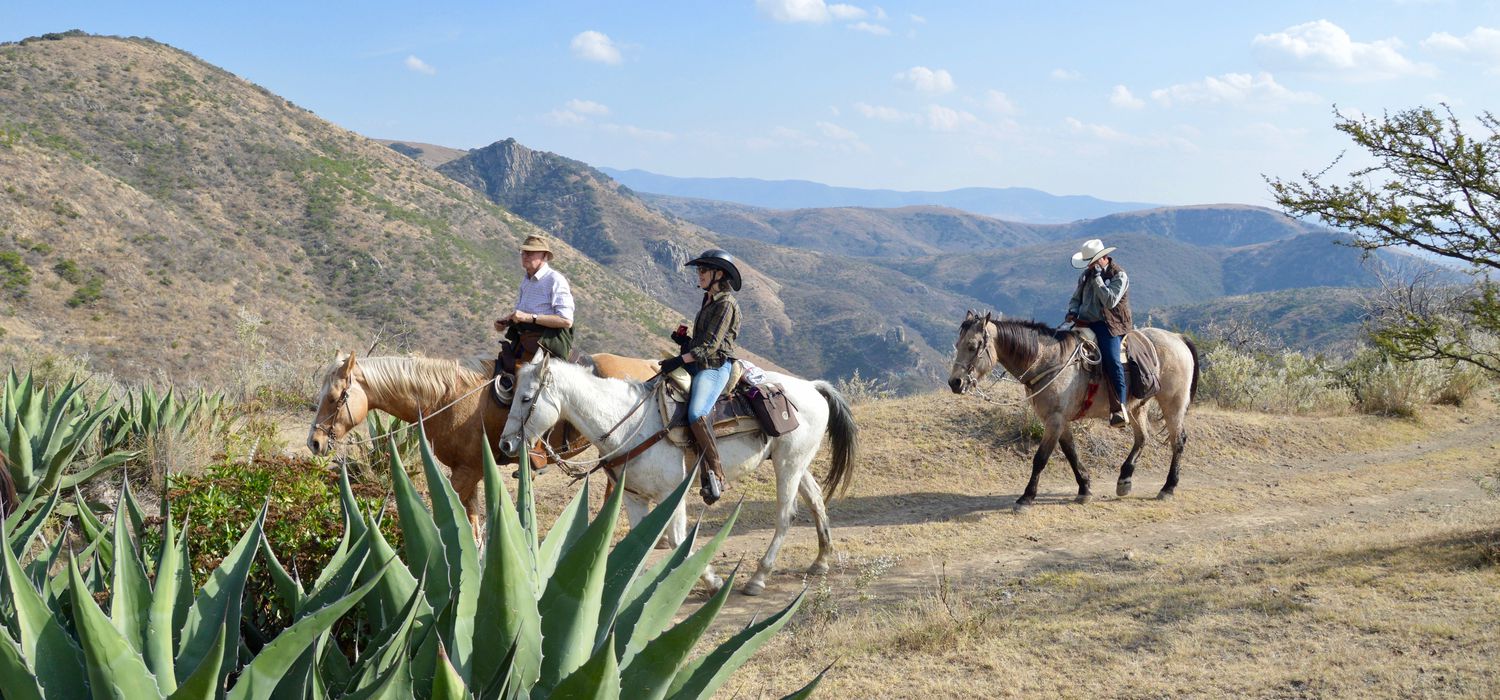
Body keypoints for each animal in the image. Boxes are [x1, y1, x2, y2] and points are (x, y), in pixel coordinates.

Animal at [307, 350, 654, 530]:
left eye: (335, 398)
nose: (315, 442)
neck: (447, 398)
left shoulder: (466, 472)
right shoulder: (469, 472)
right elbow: (472, 523)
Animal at [501, 353, 858, 593]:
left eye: (526, 398)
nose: (506, 444)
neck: (631, 423)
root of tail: (812, 387)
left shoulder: (673, 494)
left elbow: (676, 540)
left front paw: (711, 581)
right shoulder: (633, 497)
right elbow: (640, 540)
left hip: (788, 465)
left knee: (786, 515)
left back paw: (758, 578)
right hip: (797, 462)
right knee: (816, 501)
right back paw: (821, 561)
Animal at [948, 311, 1206, 509]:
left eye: (972, 346)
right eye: (958, 345)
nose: (955, 383)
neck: (1048, 361)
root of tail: (1178, 338)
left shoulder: (1054, 420)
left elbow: (1040, 458)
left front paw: (1026, 497)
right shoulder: (1060, 421)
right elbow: (1071, 453)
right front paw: (1084, 488)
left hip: (1173, 403)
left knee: (1178, 440)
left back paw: (1168, 487)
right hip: (1136, 407)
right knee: (1142, 438)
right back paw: (1124, 480)